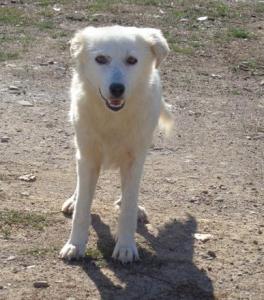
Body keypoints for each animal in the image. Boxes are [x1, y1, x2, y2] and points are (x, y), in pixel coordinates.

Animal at [59, 25, 173, 262]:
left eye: (132, 60)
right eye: (101, 59)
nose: (117, 89)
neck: (113, 116)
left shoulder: (134, 160)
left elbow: (127, 208)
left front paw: (126, 246)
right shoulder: (88, 157)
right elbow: (82, 209)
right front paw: (75, 244)